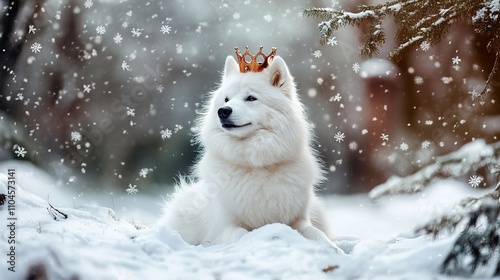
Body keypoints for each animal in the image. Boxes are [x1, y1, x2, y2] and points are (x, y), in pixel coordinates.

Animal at [160, 49, 344, 253]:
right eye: (226, 99)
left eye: (251, 98)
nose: (223, 111)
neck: (256, 164)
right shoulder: (226, 226)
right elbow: (245, 235)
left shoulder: (300, 220)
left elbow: (316, 233)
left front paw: (333, 249)